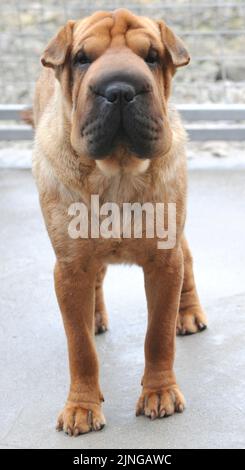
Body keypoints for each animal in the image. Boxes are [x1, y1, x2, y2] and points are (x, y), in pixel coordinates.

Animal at [32, 7, 208, 436]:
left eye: (151, 56)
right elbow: (80, 347)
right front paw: (81, 406)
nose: (121, 89)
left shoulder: (164, 260)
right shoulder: (70, 266)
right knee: (95, 286)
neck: (118, 174)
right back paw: (95, 316)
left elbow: (158, 335)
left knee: (189, 261)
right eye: (82, 58)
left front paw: (160, 393)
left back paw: (189, 313)